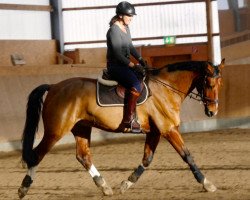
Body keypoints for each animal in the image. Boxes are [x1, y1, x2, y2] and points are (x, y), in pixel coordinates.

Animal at [17, 58, 225, 198]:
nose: (212, 111)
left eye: (220, 83)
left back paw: (104, 186)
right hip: (55, 131)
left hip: (81, 128)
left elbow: (147, 159)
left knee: (83, 156)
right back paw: (24, 188)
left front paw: (127, 183)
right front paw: (207, 183)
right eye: (209, 83)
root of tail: (54, 86)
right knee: (37, 154)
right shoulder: (168, 129)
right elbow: (187, 155)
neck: (166, 88)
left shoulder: (155, 132)